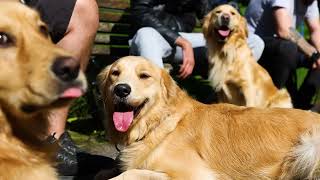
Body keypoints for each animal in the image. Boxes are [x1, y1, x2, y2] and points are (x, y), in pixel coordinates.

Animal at [97, 55, 320, 179]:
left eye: (144, 75)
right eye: (115, 73)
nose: (121, 89)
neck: (158, 124)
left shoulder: (197, 174)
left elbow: (130, 173)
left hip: (309, 148)